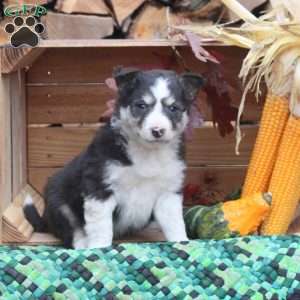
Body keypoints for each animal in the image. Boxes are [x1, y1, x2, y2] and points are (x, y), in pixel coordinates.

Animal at [24, 68, 205, 248]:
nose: (157, 131)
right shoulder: (99, 188)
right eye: (141, 105)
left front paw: (182, 243)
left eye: (173, 108)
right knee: (73, 232)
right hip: (59, 204)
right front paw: (99, 249)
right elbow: (101, 228)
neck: (147, 152)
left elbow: (175, 224)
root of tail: (46, 219)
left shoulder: (168, 192)